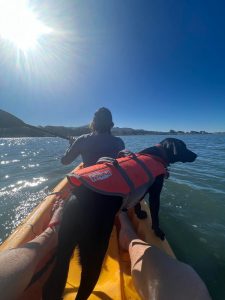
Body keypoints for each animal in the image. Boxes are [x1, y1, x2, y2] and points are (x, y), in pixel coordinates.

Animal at [43, 138, 197, 300]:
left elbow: (137, 202)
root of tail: (78, 200)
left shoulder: (140, 190)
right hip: (94, 254)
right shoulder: (155, 193)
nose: (196, 155)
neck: (157, 153)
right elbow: (155, 214)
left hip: (64, 249)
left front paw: (140, 213)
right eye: (184, 147)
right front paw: (157, 230)